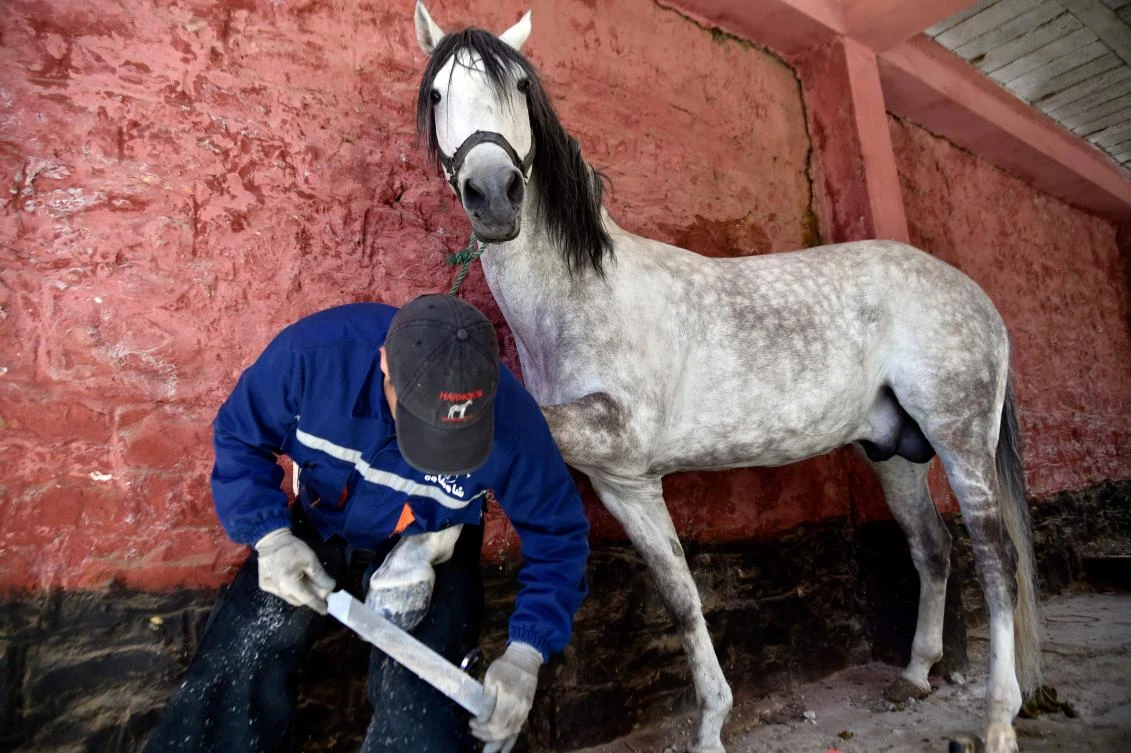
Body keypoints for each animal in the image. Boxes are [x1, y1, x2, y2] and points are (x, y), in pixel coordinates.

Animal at [410, 5, 1041, 753]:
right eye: (436, 94)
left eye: (518, 84)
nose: (493, 195)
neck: (578, 297)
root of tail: (976, 295)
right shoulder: (625, 484)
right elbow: (682, 599)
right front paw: (712, 722)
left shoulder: (617, 435)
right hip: (891, 454)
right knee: (932, 548)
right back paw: (913, 675)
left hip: (959, 438)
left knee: (995, 559)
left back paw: (998, 716)